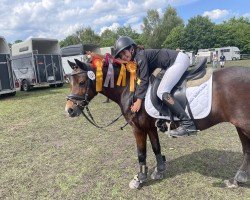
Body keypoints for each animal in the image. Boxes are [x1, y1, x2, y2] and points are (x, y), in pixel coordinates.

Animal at [65, 59, 250, 189]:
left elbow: (141, 153)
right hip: (240, 126)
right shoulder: (149, 127)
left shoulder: (138, 129)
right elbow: (156, 148)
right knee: (246, 150)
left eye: (82, 82)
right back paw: (237, 179)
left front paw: (139, 179)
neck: (131, 89)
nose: (69, 110)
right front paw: (159, 171)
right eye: (70, 82)